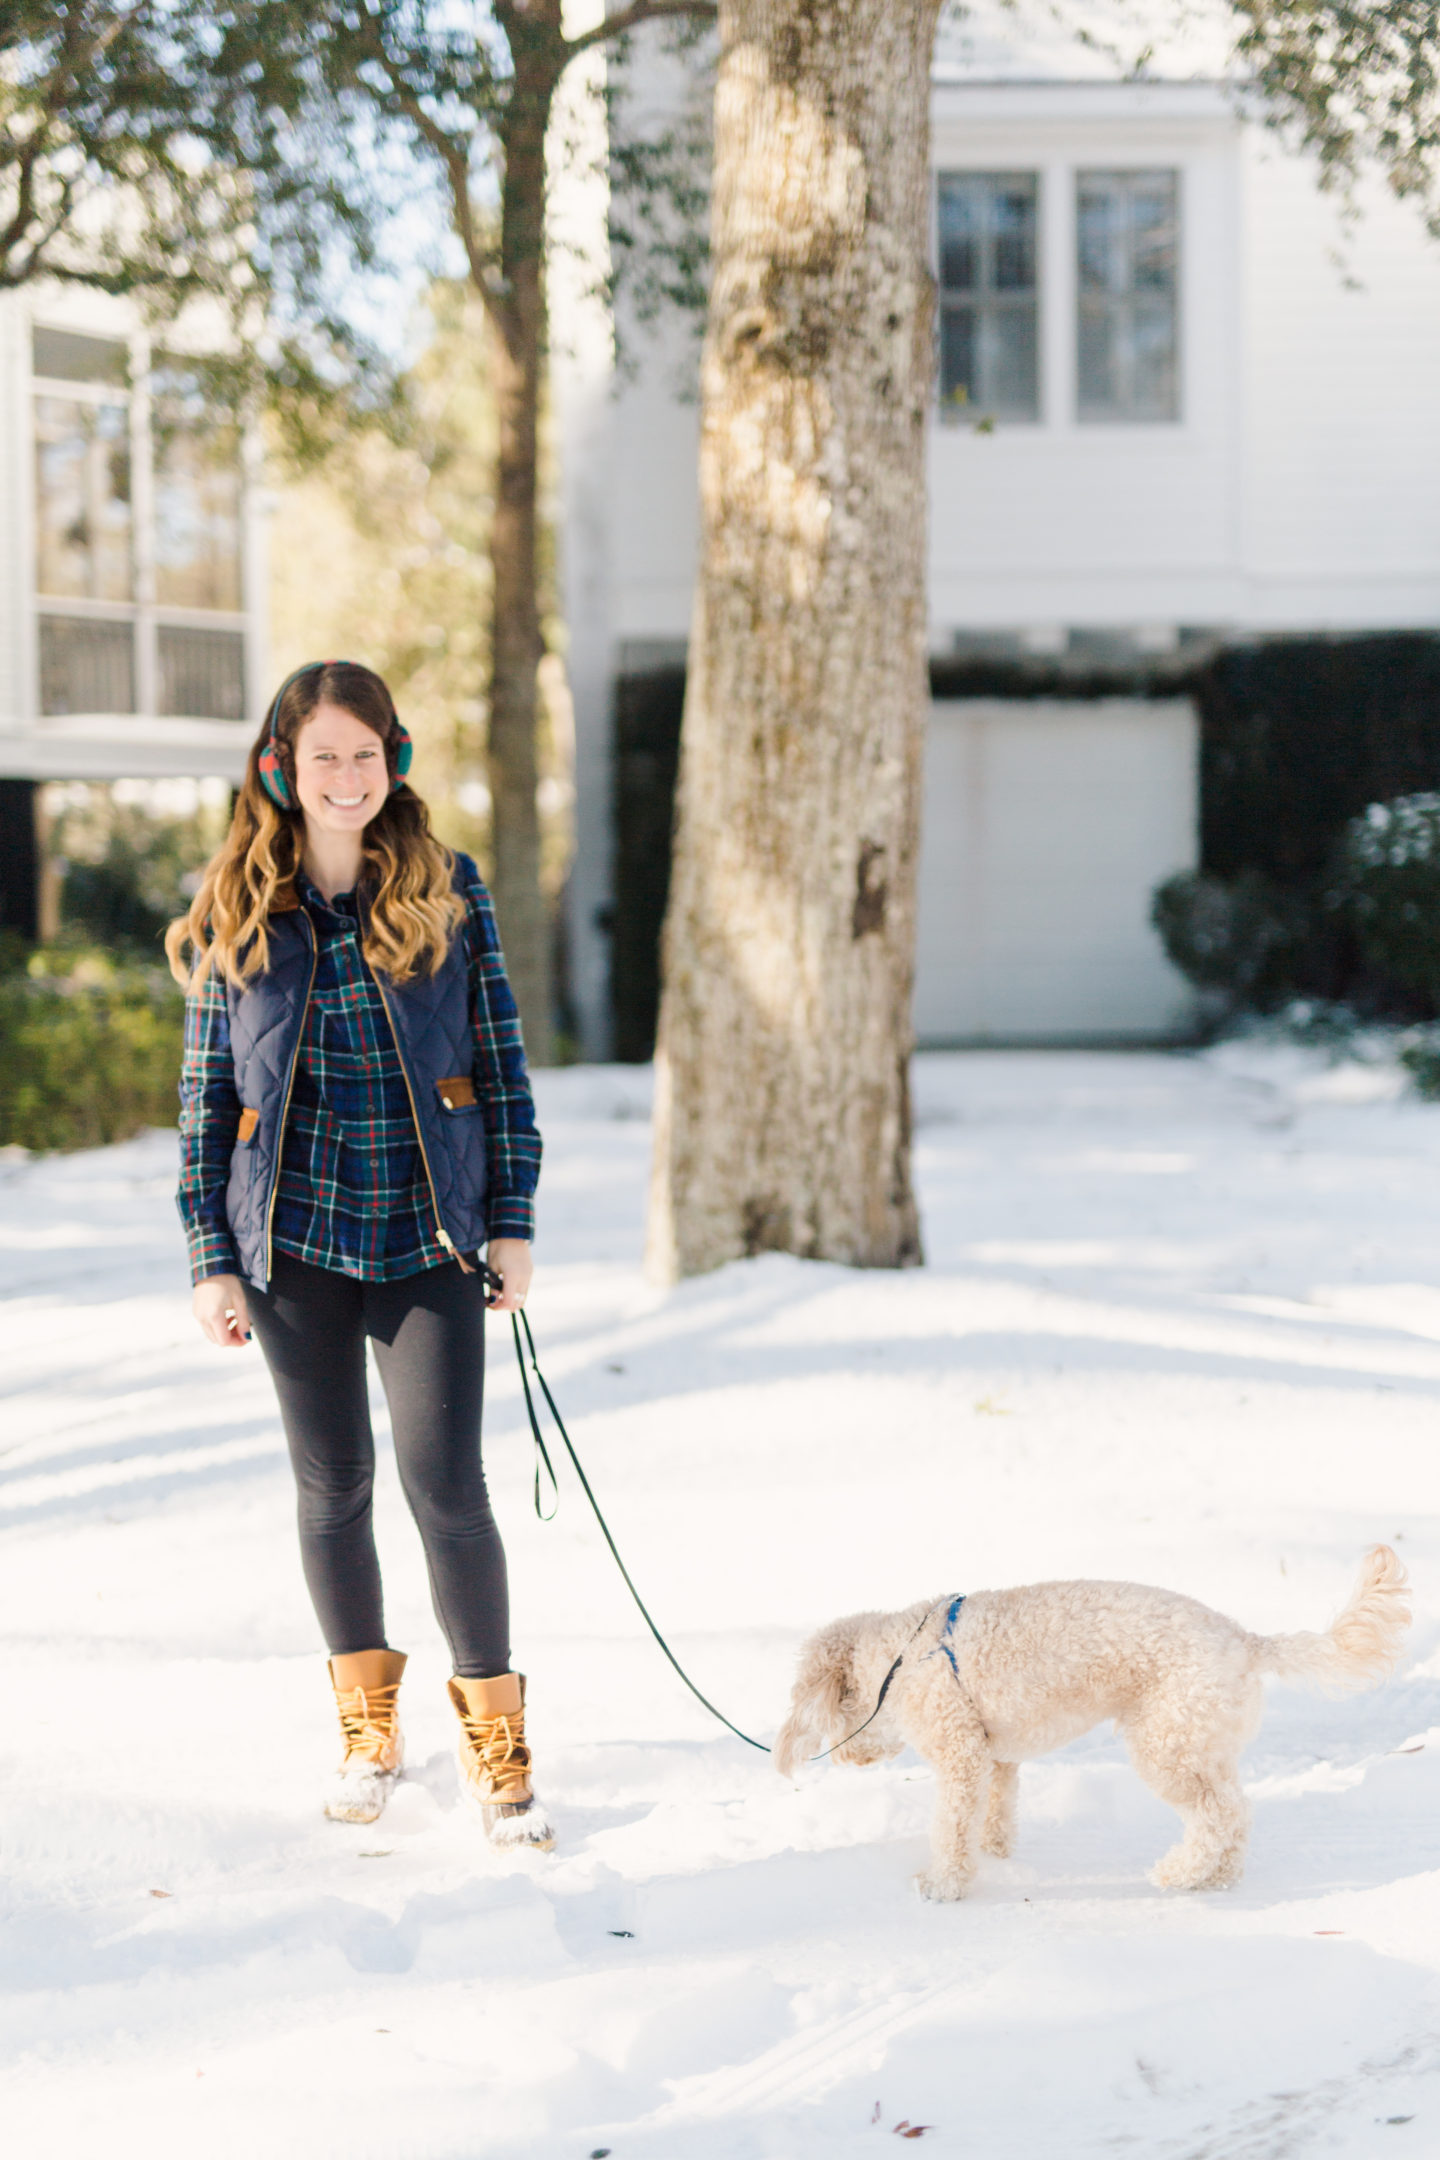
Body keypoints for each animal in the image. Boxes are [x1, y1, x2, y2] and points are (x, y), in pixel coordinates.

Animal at [772, 1546, 1416, 1900]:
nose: (847, 1758)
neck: (902, 1657)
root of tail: (1245, 1639)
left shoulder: (961, 1755)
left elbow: (951, 1828)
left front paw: (946, 1885)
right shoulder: (996, 1757)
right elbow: (997, 1813)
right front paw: (999, 1858)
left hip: (1165, 1743)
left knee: (1218, 1814)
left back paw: (1178, 1874)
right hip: (1202, 1741)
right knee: (1237, 1813)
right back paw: (1215, 1879)